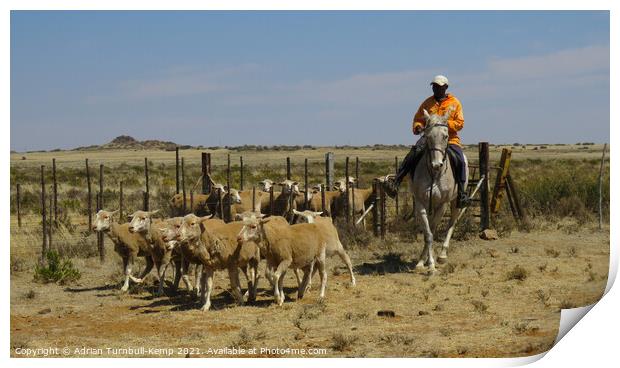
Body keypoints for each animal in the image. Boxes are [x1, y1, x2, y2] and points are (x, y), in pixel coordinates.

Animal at [402, 109, 470, 274]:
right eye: (427, 136)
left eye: (445, 135)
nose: (436, 164)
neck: (434, 174)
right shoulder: (421, 203)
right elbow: (428, 234)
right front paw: (423, 262)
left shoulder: (442, 204)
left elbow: (434, 229)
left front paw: (431, 263)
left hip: (455, 202)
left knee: (452, 223)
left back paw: (443, 255)